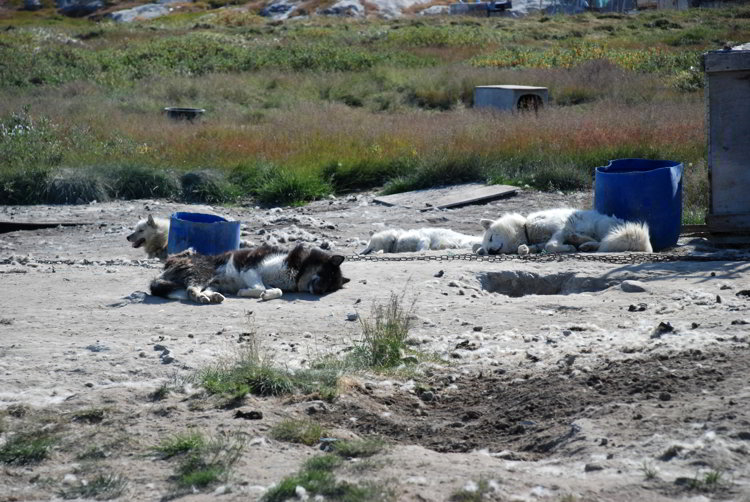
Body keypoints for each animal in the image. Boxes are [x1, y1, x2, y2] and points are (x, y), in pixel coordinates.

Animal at [153, 242, 356, 302]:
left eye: (330, 288)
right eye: (328, 275)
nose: (320, 292)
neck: (299, 268)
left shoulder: (270, 281)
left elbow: (276, 290)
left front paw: (267, 294)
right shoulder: (249, 269)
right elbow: (258, 288)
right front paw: (245, 292)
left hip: (212, 283)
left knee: (204, 290)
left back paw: (214, 297)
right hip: (203, 272)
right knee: (191, 290)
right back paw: (200, 297)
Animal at [478, 208, 656, 255]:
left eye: (491, 237)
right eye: (485, 249)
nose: (490, 251)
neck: (527, 228)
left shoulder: (559, 228)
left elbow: (550, 245)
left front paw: (568, 247)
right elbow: (537, 247)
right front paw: (524, 249)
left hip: (604, 226)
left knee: (604, 242)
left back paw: (578, 242)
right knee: (599, 244)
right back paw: (584, 244)